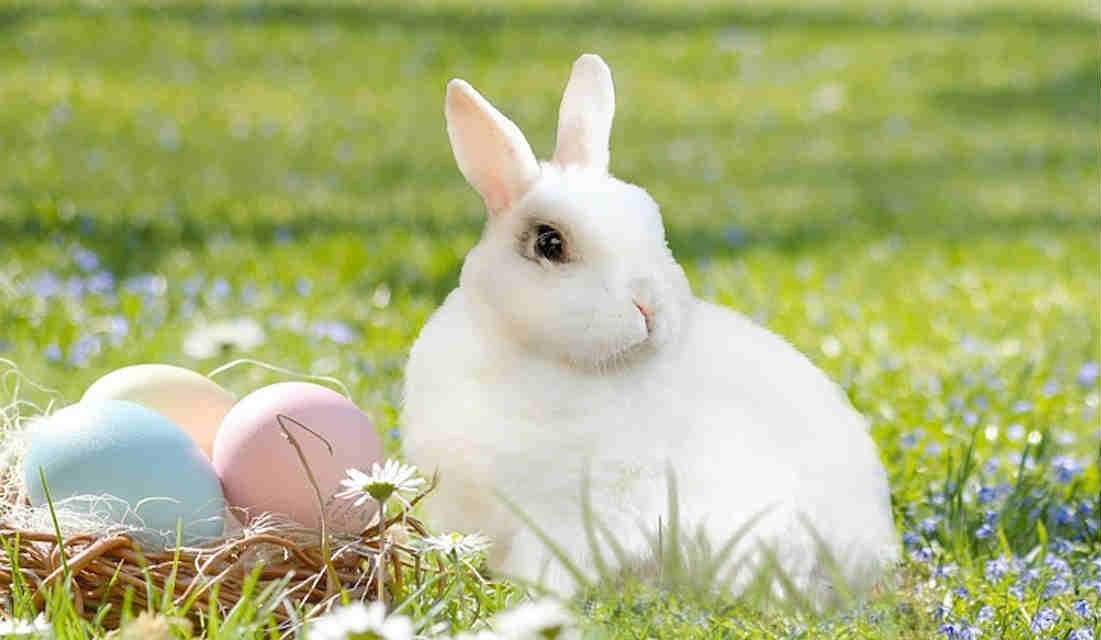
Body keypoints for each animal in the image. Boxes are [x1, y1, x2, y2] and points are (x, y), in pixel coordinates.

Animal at [402, 53, 898, 601]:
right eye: (550, 243)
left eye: (653, 227)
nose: (649, 306)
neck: (529, 354)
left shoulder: (575, 515)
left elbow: (549, 565)